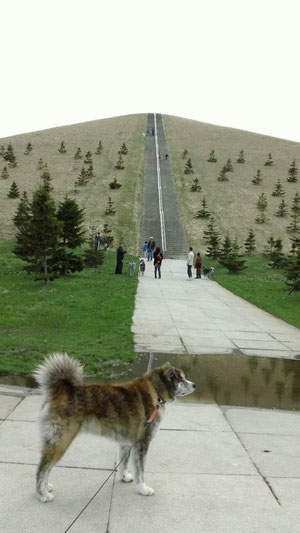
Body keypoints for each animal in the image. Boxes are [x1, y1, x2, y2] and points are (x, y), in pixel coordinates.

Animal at [34, 352, 196, 500]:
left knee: (46, 468)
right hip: (61, 442)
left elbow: (123, 463)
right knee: (42, 469)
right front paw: (143, 489)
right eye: (182, 379)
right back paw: (42, 495)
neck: (155, 390)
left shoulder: (126, 442)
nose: (194, 384)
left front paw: (124, 477)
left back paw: (47, 487)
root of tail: (60, 390)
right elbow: (140, 471)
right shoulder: (142, 443)